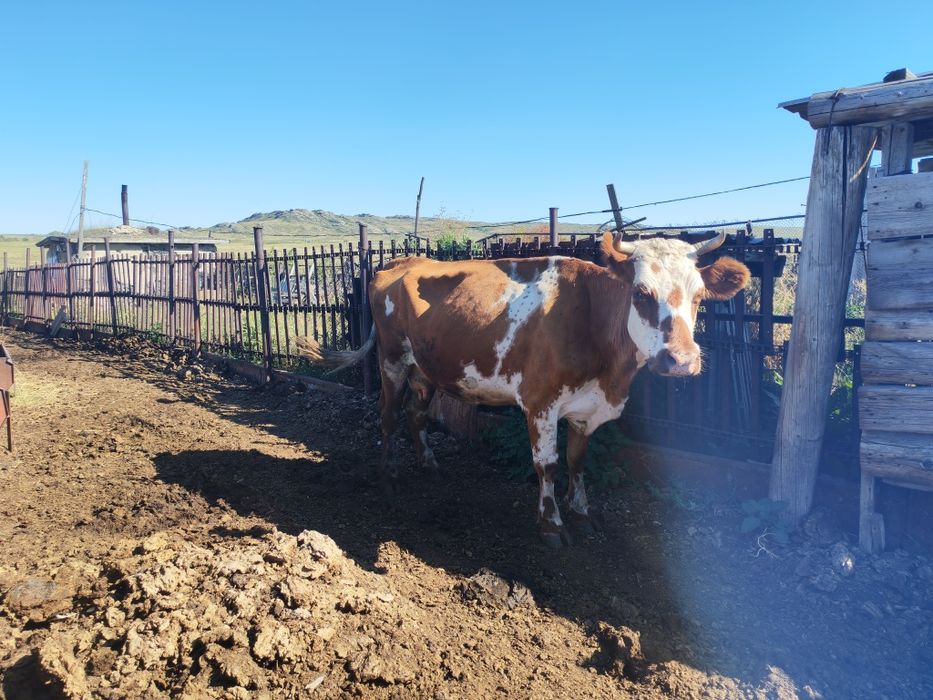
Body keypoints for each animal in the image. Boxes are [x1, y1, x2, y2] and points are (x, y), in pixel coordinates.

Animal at [296, 232, 749, 547]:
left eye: (699, 296)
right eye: (641, 293)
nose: (682, 360)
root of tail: (401, 261)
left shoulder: (588, 408)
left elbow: (578, 462)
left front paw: (582, 513)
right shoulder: (540, 402)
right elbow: (547, 465)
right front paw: (551, 524)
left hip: (426, 367)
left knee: (416, 412)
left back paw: (429, 464)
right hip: (391, 359)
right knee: (388, 415)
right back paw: (389, 476)